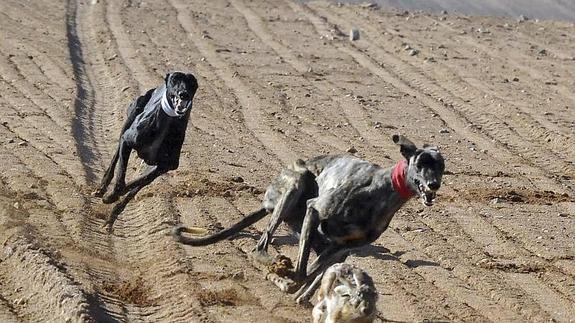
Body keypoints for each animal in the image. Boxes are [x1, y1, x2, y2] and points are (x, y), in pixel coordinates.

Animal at [94, 72, 198, 232]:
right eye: (175, 79)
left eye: (192, 82)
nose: (184, 94)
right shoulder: (127, 141)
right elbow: (121, 180)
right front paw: (109, 196)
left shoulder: (164, 167)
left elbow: (134, 186)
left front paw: (111, 214)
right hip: (131, 116)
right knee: (116, 155)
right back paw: (102, 187)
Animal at [174, 134, 446, 304]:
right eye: (420, 164)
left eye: (441, 166)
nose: (434, 185)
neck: (380, 189)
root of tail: (266, 202)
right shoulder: (314, 211)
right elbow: (301, 272)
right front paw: (282, 275)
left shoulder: (340, 247)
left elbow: (310, 274)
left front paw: (294, 289)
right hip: (296, 184)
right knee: (260, 245)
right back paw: (273, 263)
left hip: (318, 238)